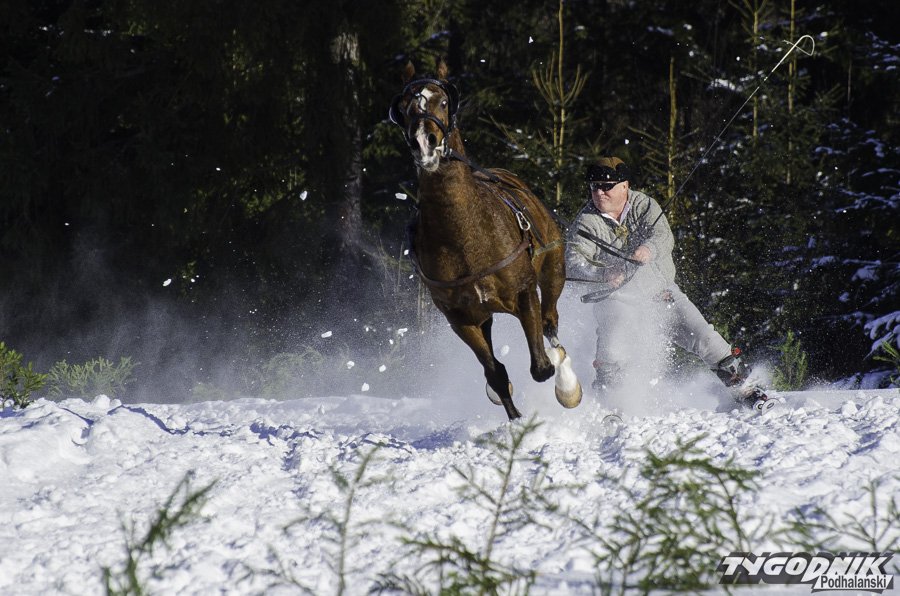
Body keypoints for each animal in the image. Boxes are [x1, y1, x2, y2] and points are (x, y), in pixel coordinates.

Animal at [389, 59, 581, 420]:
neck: (464, 236)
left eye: (444, 101)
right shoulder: (459, 317)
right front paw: (513, 416)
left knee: (550, 322)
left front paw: (561, 382)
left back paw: (565, 379)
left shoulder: (524, 292)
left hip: (553, 270)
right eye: (404, 108)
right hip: (482, 312)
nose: (424, 142)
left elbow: (540, 366)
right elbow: (495, 371)